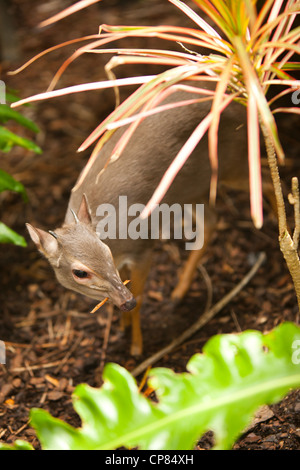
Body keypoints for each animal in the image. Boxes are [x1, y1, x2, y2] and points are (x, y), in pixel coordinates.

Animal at [26, 84, 272, 356]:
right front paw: (123, 326)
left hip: (233, 162)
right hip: (191, 188)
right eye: (80, 272)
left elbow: (142, 296)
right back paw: (179, 291)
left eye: (105, 250)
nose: (126, 301)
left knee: (267, 180)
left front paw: (136, 346)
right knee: (212, 220)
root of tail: (240, 98)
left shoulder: (143, 246)